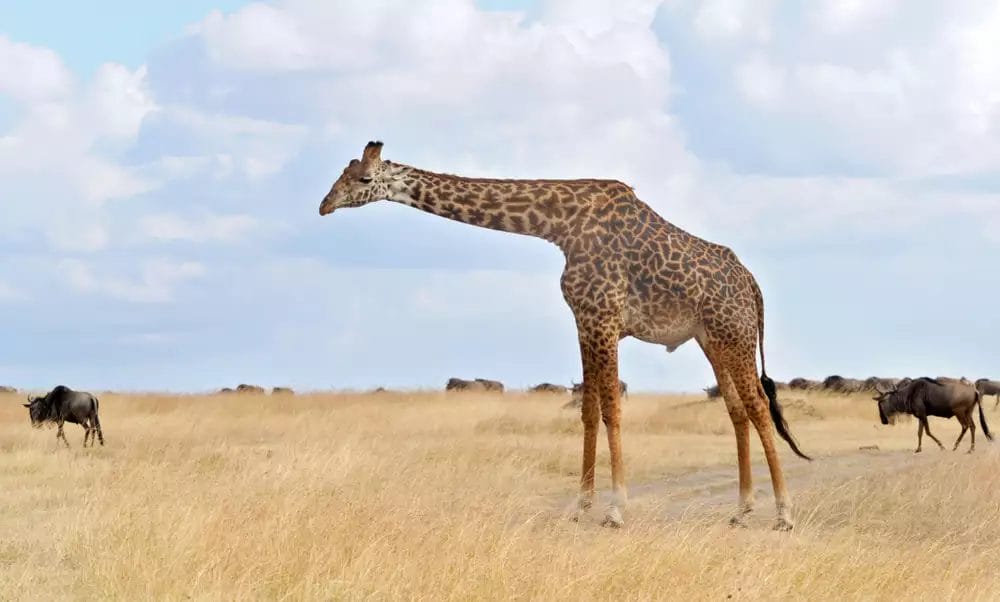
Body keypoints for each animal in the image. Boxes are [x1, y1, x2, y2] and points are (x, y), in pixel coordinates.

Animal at [320, 143, 812, 528]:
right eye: (341, 173)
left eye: (363, 178)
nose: (324, 205)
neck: (558, 225)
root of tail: (752, 284)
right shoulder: (584, 320)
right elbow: (588, 412)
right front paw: (581, 506)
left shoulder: (604, 317)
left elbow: (612, 408)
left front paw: (616, 509)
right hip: (711, 340)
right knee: (737, 410)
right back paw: (742, 509)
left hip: (735, 334)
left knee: (759, 407)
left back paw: (784, 513)